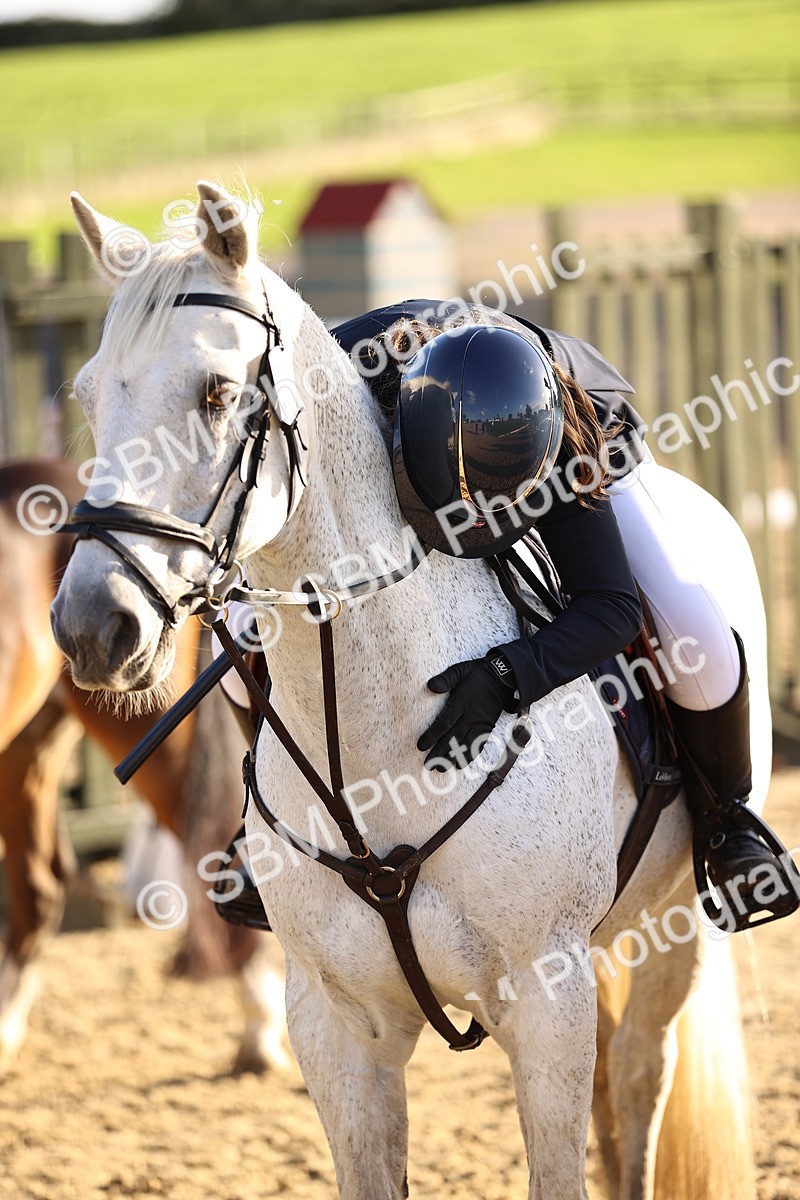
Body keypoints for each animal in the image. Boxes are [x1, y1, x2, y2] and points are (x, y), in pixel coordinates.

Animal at [50, 180, 763, 1199]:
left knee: (638, 1074)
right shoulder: (336, 1024)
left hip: (673, 923)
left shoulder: (545, 1002)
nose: (90, 627)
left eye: (218, 392)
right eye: (87, 394)